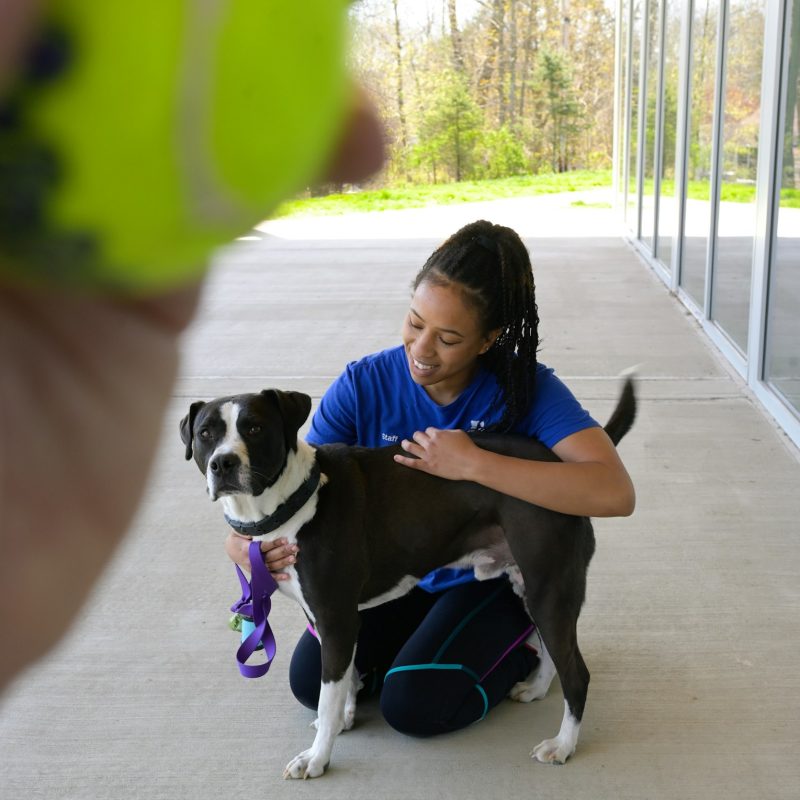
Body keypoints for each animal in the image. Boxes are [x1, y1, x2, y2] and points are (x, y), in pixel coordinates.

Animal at [181, 382, 636, 780]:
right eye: (206, 434)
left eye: (254, 428)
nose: (223, 462)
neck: (296, 500)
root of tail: (558, 465)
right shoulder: (335, 621)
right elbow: (346, 678)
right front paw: (346, 716)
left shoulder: (335, 618)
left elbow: (326, 697)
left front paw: (317, 757)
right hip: (532, 587)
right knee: (551, 650)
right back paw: (537, 688)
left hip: (549, 589)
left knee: (576, 673)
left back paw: (563, 745)